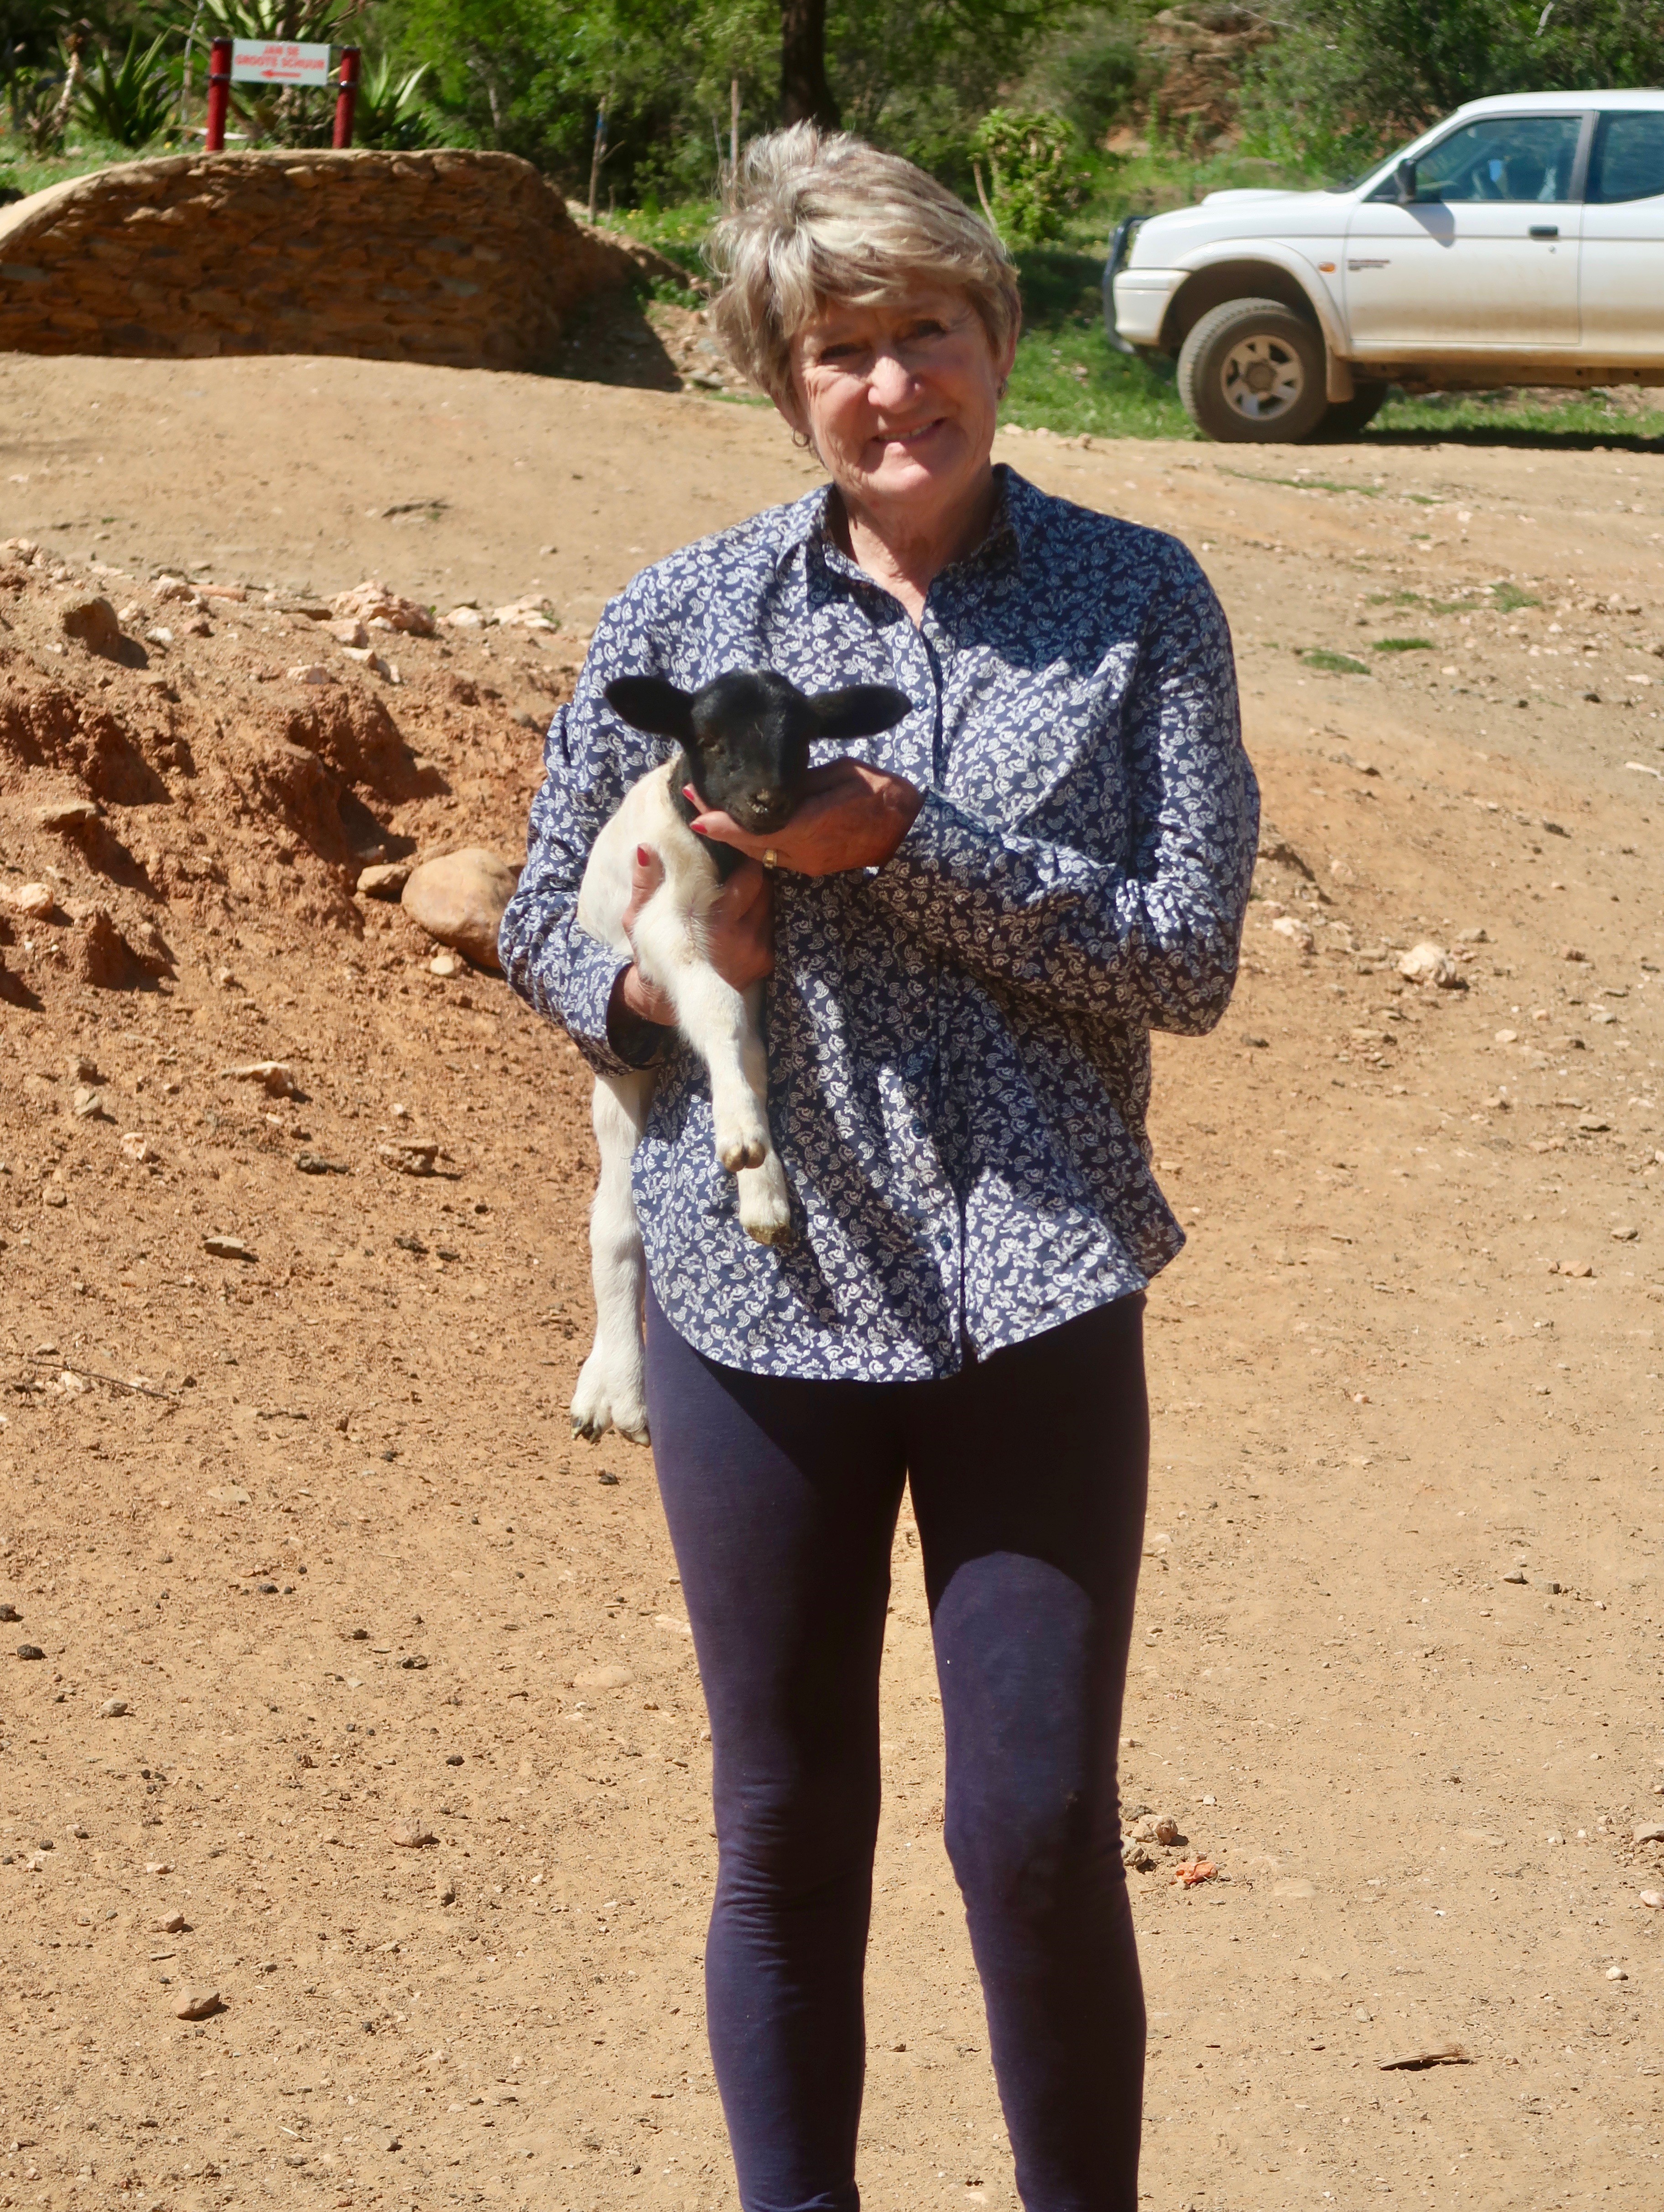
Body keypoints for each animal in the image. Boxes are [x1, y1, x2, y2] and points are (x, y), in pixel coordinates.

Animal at [571, 664, 911, 1442]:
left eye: (803, 740)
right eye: (712, 739)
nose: (767, 803)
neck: (720, 859)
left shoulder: (751, 960)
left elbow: (750, 1049)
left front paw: (762, 1176)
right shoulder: (662, 924)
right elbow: (714, 1009)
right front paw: (741, 1143)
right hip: (618, 1080)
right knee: (616, 1224)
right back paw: (617, 1387)